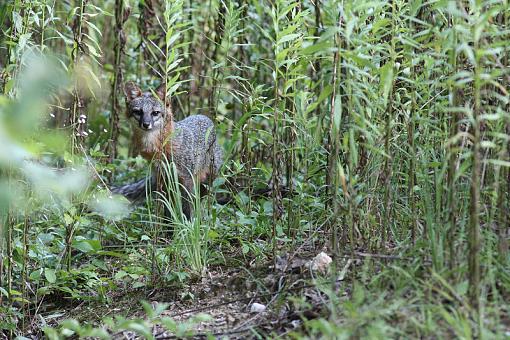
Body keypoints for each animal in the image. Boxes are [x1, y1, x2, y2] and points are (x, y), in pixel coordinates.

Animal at [111, 80, 223, 218]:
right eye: (138, 112)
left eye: (155, 113)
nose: (146, 124)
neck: (161, 147)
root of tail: (206, 118)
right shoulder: (165, 181)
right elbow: (168, 212)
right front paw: (169, 225)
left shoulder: (187, 180)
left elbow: (187, 210)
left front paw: (188, 223)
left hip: (207, 182)